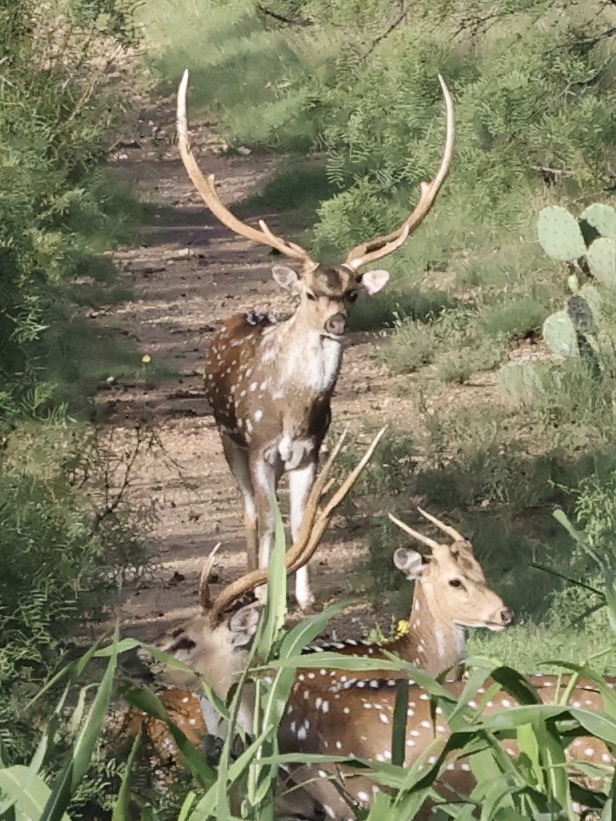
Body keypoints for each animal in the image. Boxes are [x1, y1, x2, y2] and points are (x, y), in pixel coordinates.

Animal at [176, 69, 455, 611]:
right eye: (309, 293)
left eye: (352, 293)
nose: (336, 324)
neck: (292, 408)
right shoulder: (260, 447)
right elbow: (271, 523)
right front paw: (268, 597)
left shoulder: (311, 451)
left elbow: (303, 520)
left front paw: (302, 598)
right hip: (226, 437)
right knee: (248, 514)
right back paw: (249, 585)